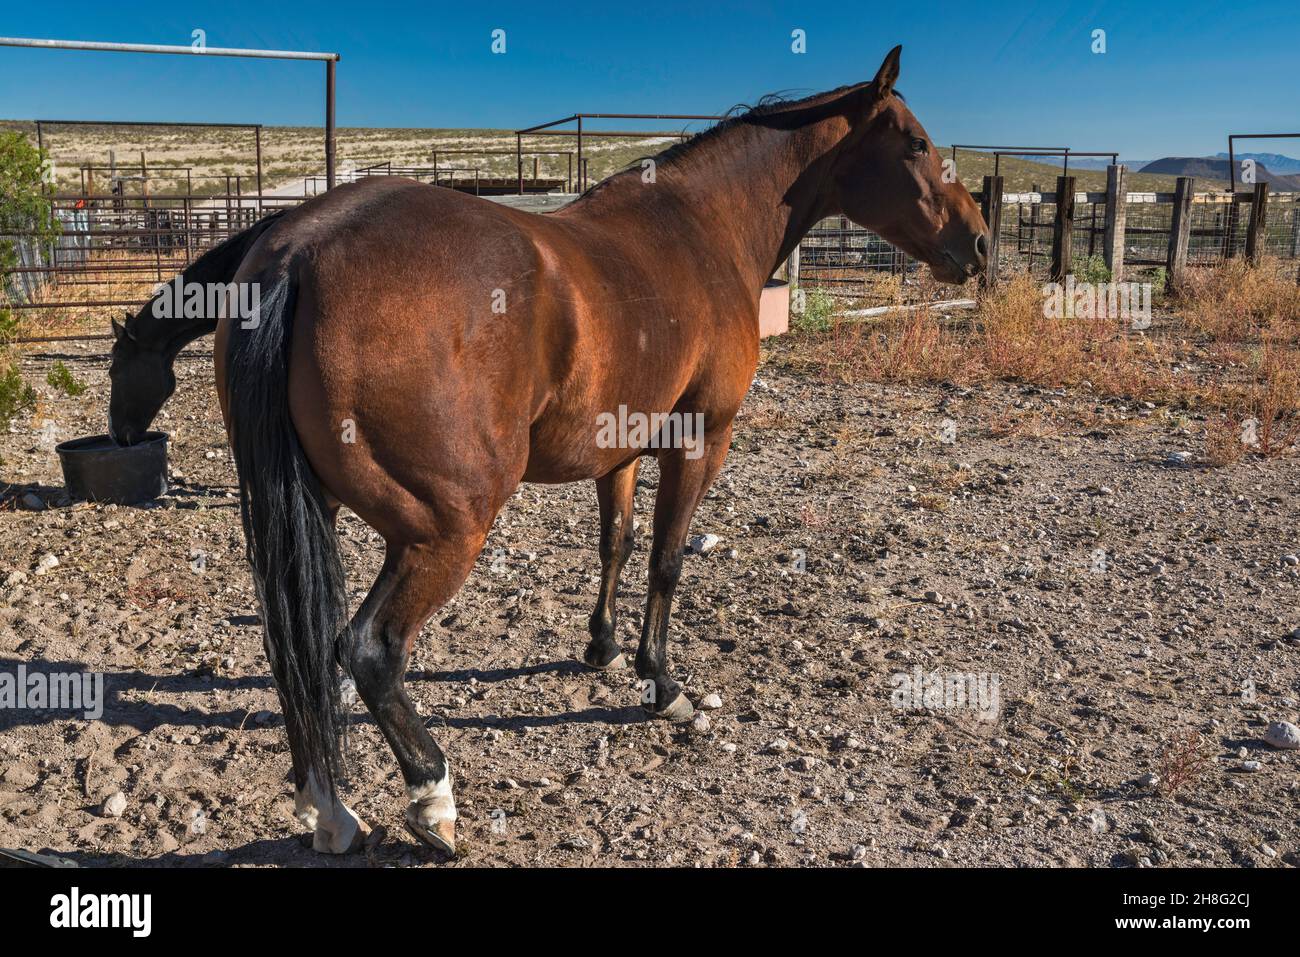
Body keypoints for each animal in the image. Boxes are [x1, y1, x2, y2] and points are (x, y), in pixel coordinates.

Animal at [210, 46, 982, 852]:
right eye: (917, 143)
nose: (979, 243)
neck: (702, 228)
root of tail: (300, 249)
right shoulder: (700, 439)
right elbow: (667, 559)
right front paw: (661, 684)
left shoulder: (624, 449)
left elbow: (617, 541)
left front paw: (602, 647)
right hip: (444, 529)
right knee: (369, 649)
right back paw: (432, 797)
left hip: (311, 513)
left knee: (297, 650)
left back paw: (327, 808)